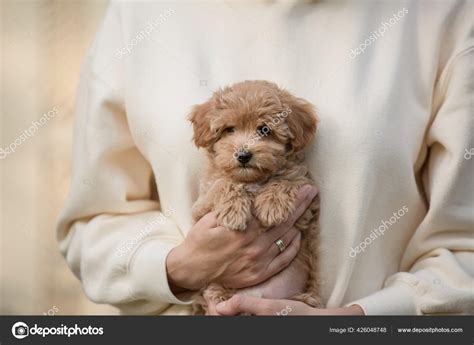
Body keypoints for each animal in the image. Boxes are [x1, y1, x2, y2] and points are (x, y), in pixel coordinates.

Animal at [189, 79, 322, 314]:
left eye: (264, 129)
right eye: (229, 130)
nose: (243, 155)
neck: (252, 180)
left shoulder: (307, 194)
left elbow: (286, 181)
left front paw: (273, 206)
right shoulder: (201, 205)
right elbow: (224, 184)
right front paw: (233, 212)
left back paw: (308, 299)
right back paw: (221, 294)